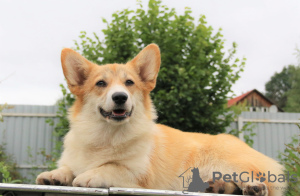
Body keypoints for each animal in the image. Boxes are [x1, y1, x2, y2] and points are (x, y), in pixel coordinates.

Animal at [36, 43, 288, 195]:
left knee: (255, 177)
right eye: (101, 83)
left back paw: (252, 187)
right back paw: (216, 187)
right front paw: (54, 175)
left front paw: (89, 175)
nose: (120, 97)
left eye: (129, 83)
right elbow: (68, 167)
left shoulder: (140, 175)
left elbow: (111, 166)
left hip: (231, 163)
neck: (106, 137)